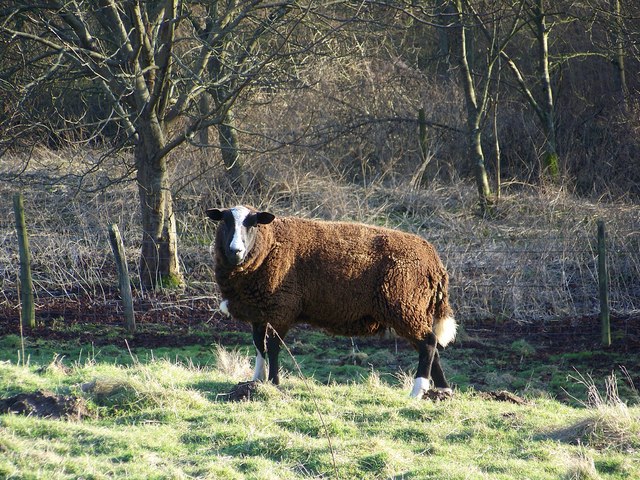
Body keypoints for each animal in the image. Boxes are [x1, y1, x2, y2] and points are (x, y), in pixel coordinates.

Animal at [206, 204, 456, 396]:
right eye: (225, 222)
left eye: (253, 223)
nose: (235, 250)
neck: (270, 245)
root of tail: (435, 262)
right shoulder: (259, 311)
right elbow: (259, 345)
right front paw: (256, 380)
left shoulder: (282, 308)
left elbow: (274, 346)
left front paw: (274, 383)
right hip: (415, 309)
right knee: (430, 347)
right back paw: (442, 390)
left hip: (404, 305)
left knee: (428, 343)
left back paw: (418, 391)